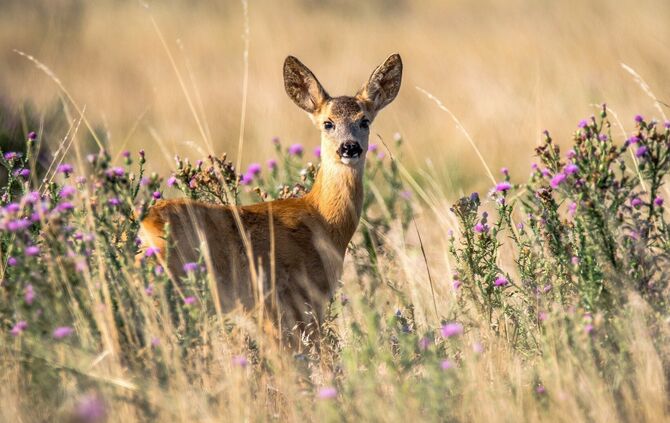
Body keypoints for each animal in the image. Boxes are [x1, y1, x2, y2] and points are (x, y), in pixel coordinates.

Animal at [139, 53, 402, 344]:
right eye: (328, 123)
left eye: (364, 121)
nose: (349, 147)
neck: (323, 220)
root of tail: (145, 226)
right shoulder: (296, 299)